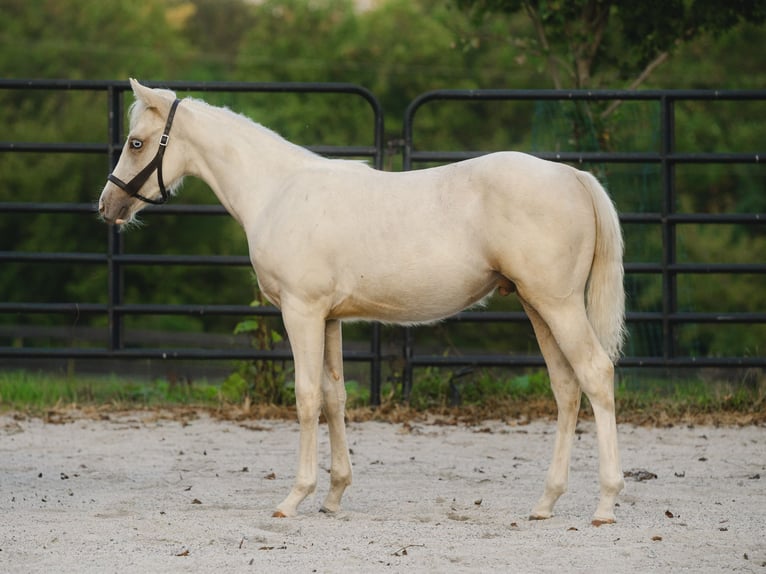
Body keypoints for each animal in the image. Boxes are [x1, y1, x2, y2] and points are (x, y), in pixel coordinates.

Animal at [99, 79, 626, 526]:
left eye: (136, 143)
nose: (107, 206)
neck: (278, 190)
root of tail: (571, 176)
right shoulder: (329, 318)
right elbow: (335, 398)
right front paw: (334, 495)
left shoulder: (302, 312)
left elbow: (306, 397)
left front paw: (295, 497)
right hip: (538, 307)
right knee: (566, 388)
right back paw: (545, 503)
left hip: (557, 305)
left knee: (595, 375)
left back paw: (605, 504)